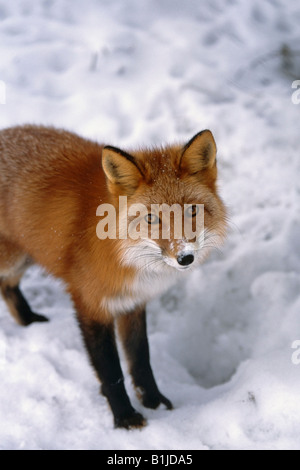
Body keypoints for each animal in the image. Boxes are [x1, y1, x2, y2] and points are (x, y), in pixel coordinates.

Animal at [0, 126, 226, 430]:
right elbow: (110, 370)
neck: (126, 253)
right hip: (12, 259)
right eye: (152, 218)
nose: (185, 257)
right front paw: (125, 417)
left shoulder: (133, 302)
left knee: (8, 288)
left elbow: (140, 359)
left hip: (22, 258)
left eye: (192, 210)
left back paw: (28, 322)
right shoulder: (91, 304)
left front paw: (153, 401)